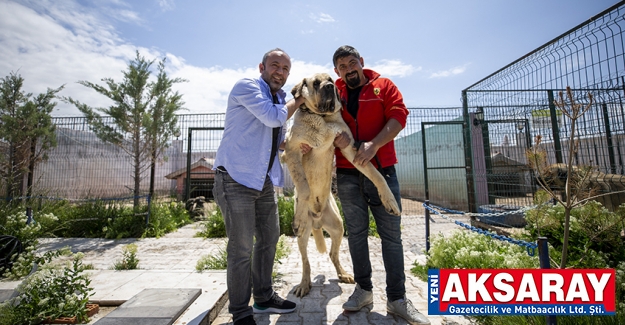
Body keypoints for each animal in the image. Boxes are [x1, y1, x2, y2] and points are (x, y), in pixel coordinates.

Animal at [282, 73, 400, 296]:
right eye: (316, 83)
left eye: (330, 79)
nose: (330, 86)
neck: (322, 118)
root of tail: (317, 220)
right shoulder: (290, 152)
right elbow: (304, 187)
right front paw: (299, 217)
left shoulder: (350, 149)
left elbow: (376, 175)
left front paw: (390, 201)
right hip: (303, 237)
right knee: (306, 261)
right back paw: (304, 284)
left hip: (338, 227)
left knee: (332, 253)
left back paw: (343, 274)